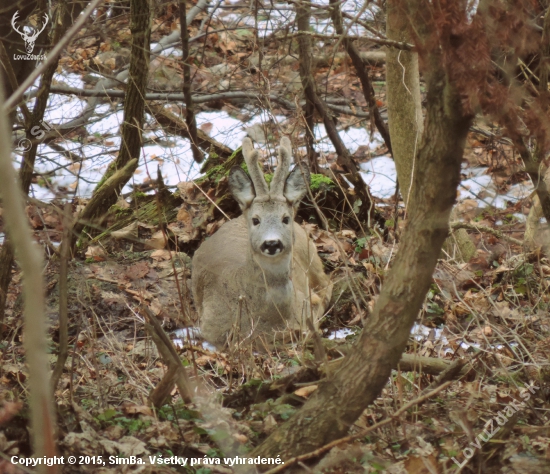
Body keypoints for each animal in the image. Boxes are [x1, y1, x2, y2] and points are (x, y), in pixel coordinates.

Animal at [193, 137, 332, 348]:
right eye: (255, 219)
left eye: (285, 218)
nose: (272, 243)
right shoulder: (210, 328)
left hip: (309, 252)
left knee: (327, 283)